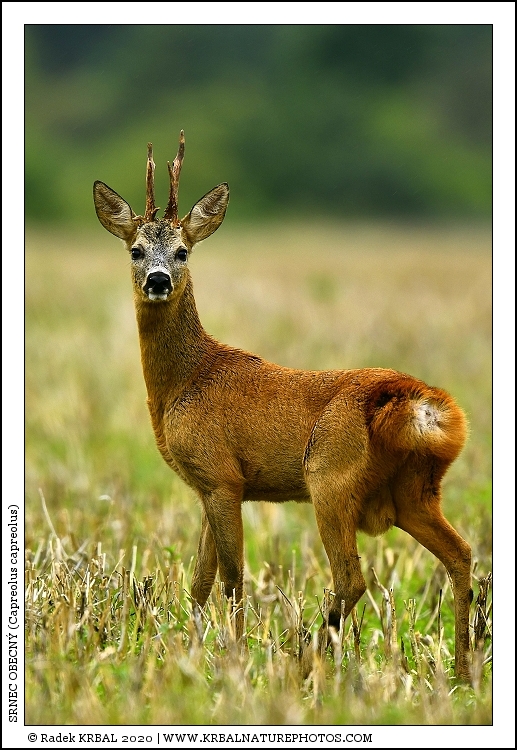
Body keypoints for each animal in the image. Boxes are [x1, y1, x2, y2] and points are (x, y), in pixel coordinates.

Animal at [93, 131, 473, 680]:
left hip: (330, 477)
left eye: (183, 251)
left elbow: (232, 575)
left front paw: (233, 653)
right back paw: (463, 673)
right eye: (136, 250)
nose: (158, 280)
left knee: (352, 577)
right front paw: (187, 649)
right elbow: (200, 578)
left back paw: (307, 659)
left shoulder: (222, 476)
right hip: (414, 491)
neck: (186, 381)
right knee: (461, 555)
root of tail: (422, 403)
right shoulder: (207, 485)